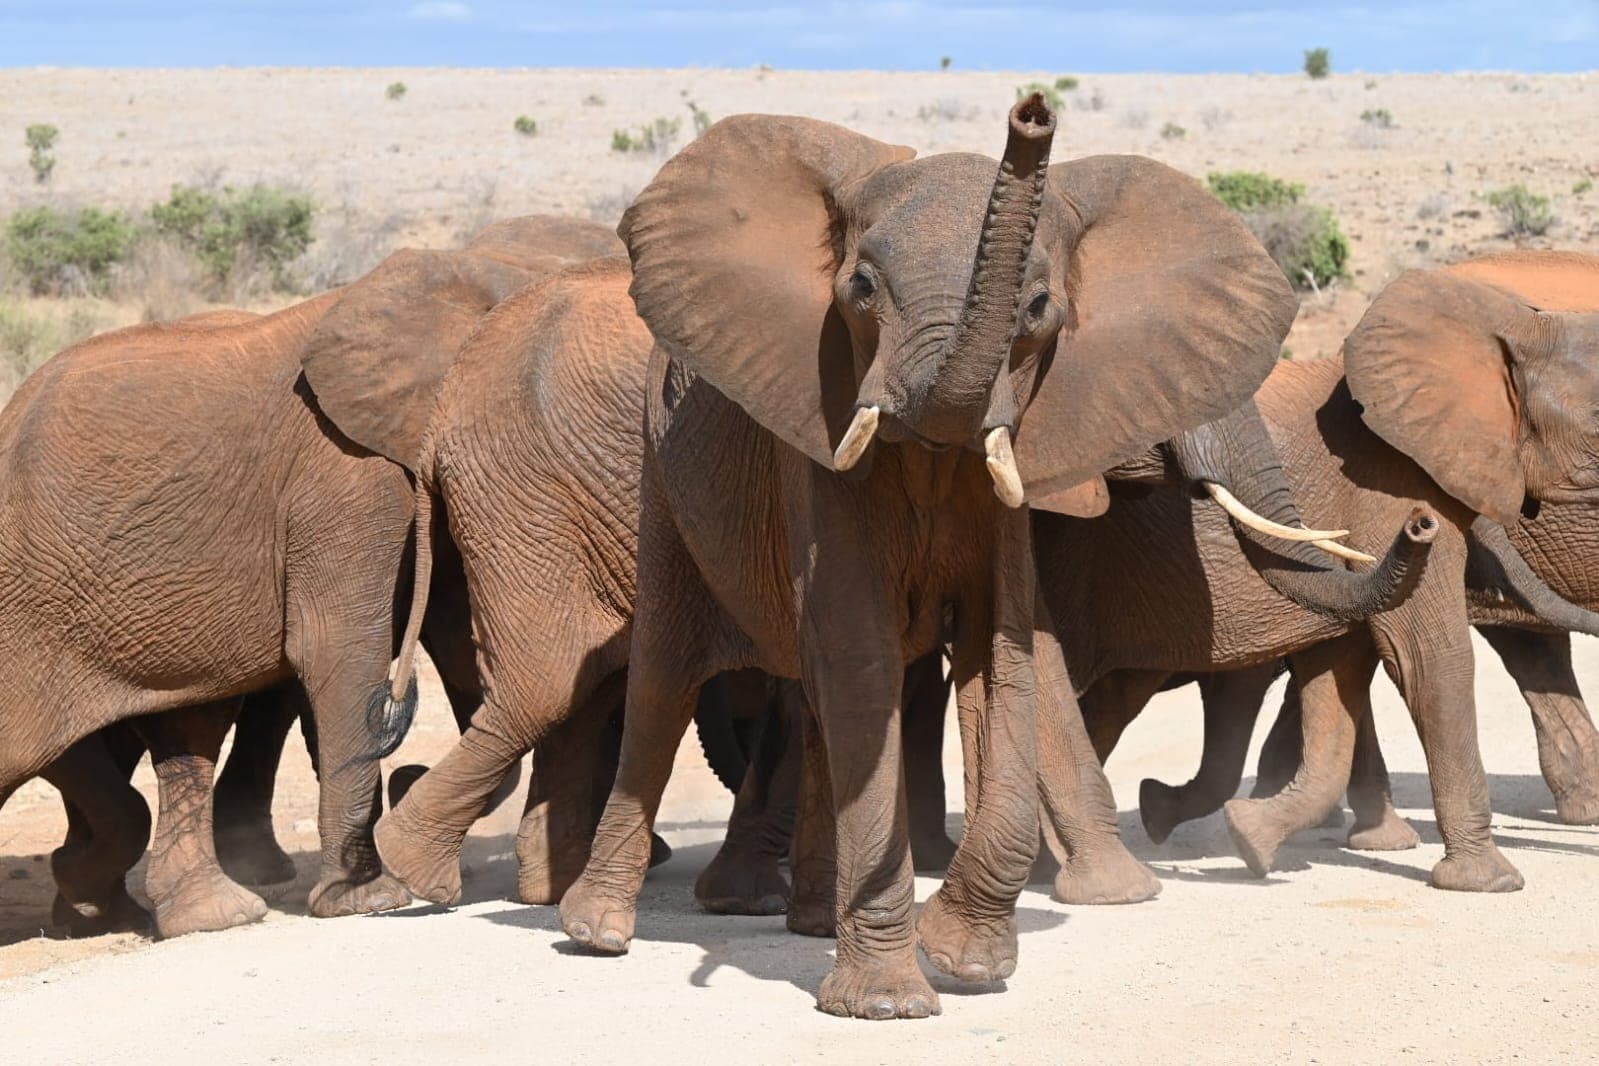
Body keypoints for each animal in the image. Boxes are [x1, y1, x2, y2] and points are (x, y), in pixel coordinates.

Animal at [550, 94, 1316, 1021]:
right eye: (860, 289)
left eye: (1038, 307)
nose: (1032, 113)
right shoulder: (820, 424)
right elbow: (862, 650)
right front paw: (886, 1003)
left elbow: (1000, 655)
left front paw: (965, 959)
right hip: (661, 475)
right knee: (665, 679)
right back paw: (596, 933)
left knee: (815, 703)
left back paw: (812, 922)